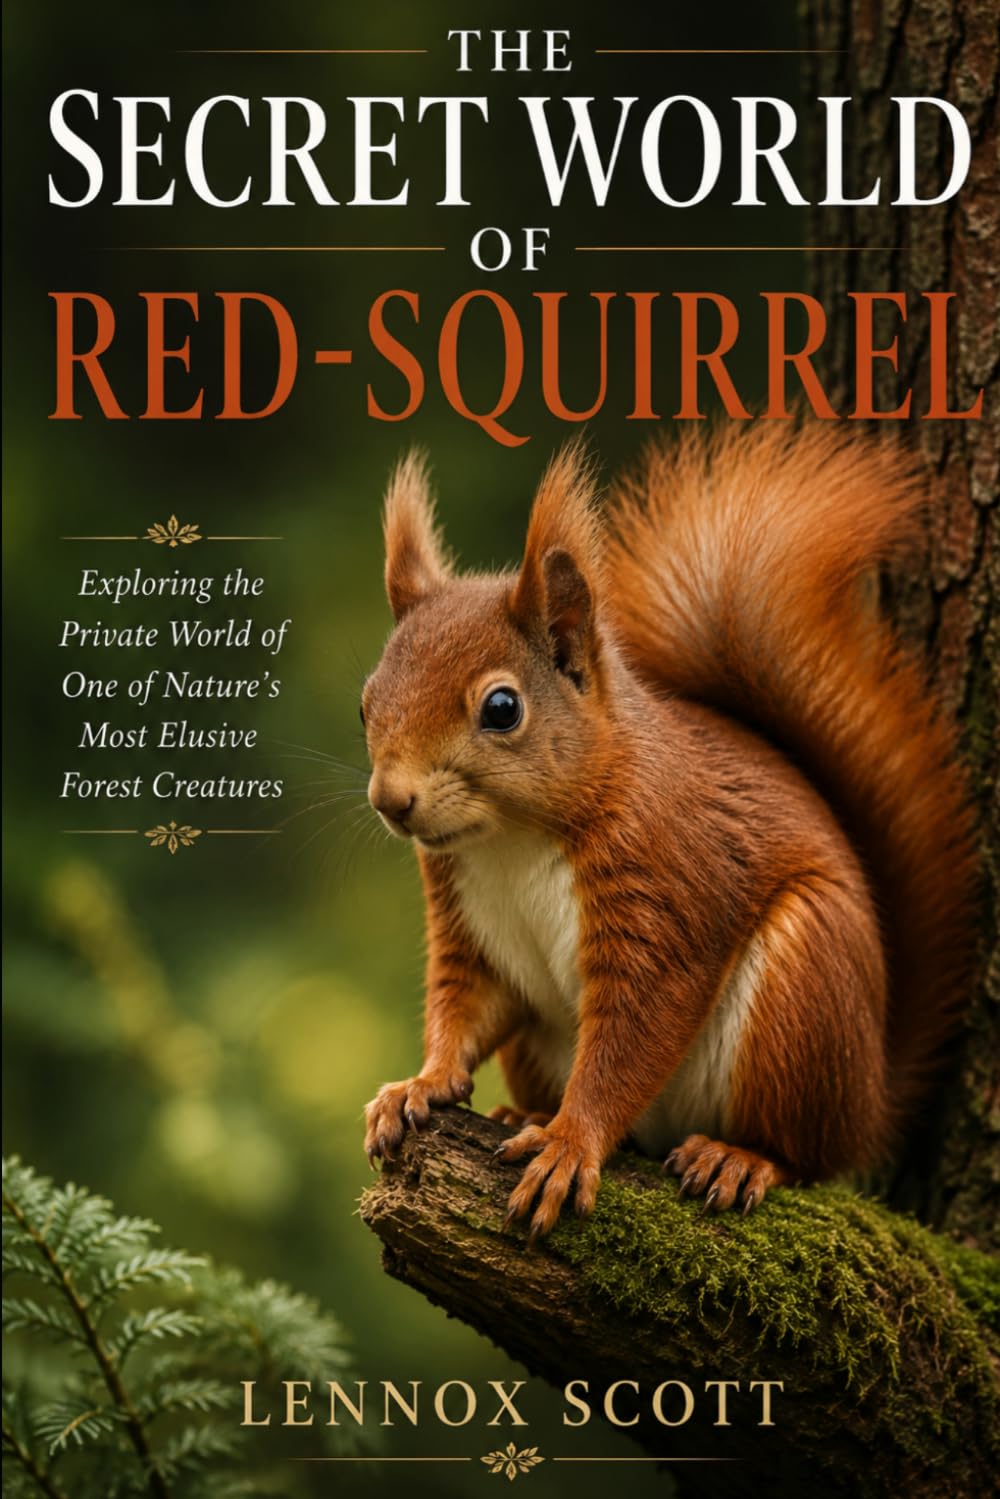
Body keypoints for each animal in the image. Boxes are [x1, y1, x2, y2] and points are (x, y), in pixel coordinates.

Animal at [361, 426, 978, 1239]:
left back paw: (739, 1158)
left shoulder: (666, 884)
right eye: (367, 701)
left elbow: (633, 1037)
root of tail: (872, 1095)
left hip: (805, 988)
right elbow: (463, 1005)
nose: (390, 800)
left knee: (806, 1153)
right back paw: (520, 1110)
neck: (510, 840)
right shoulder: (467, 923)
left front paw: (570, 1142)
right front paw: (420, 1084)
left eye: (501, 708)